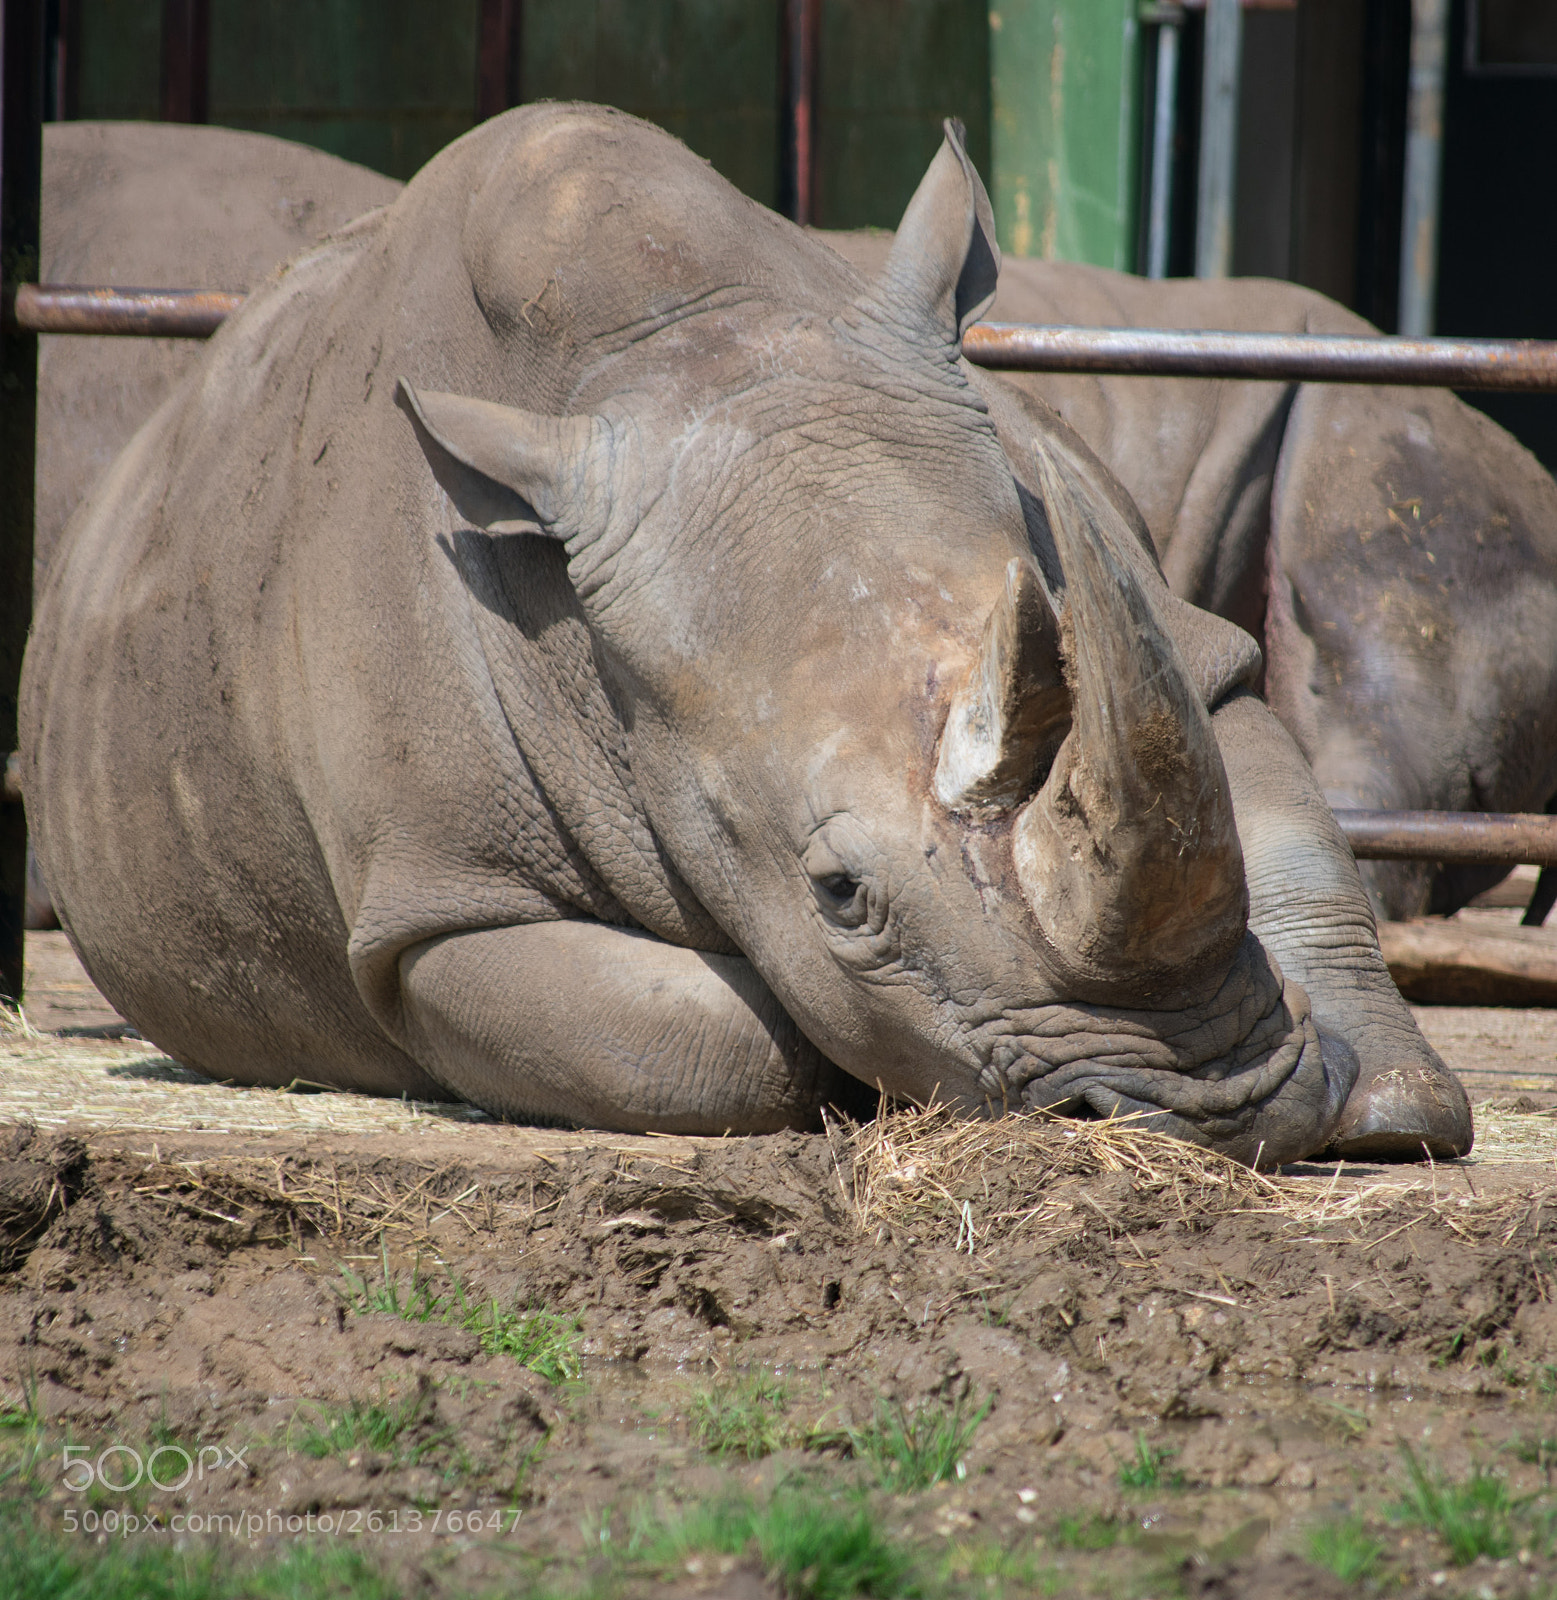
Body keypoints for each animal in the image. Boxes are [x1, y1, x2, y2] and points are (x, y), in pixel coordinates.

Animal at [20, 105, 1472, 1162]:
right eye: (836, 894)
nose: (1201, 1118)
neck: (681, 339)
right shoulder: (442, 893)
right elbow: (718, 1044)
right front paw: (842, 1080)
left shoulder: (1176, 643)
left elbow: (1285, 830)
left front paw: (1393, 1113)